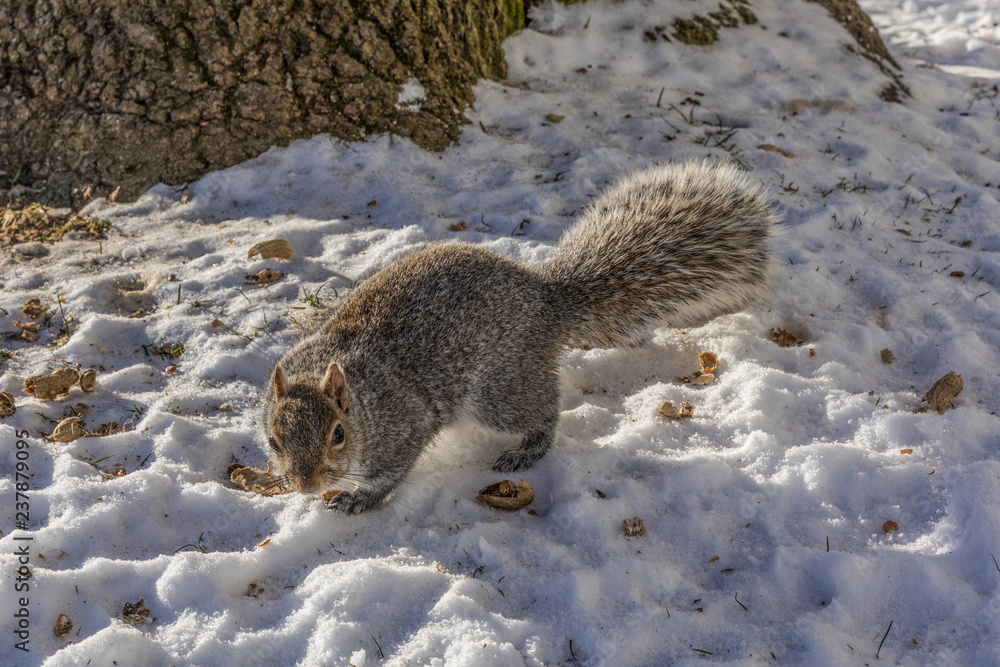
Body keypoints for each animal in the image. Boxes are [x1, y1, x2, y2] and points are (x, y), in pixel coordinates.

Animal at [263, 160, 779, 514]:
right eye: (272, 440)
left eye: (338, 434)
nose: (306, 485)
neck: (358, 397)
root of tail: (545, 298)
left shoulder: (404, 423)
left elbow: (392, 471)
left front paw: (360, 499)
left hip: (500, 388)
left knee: (543, 413)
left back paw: (526, 450)